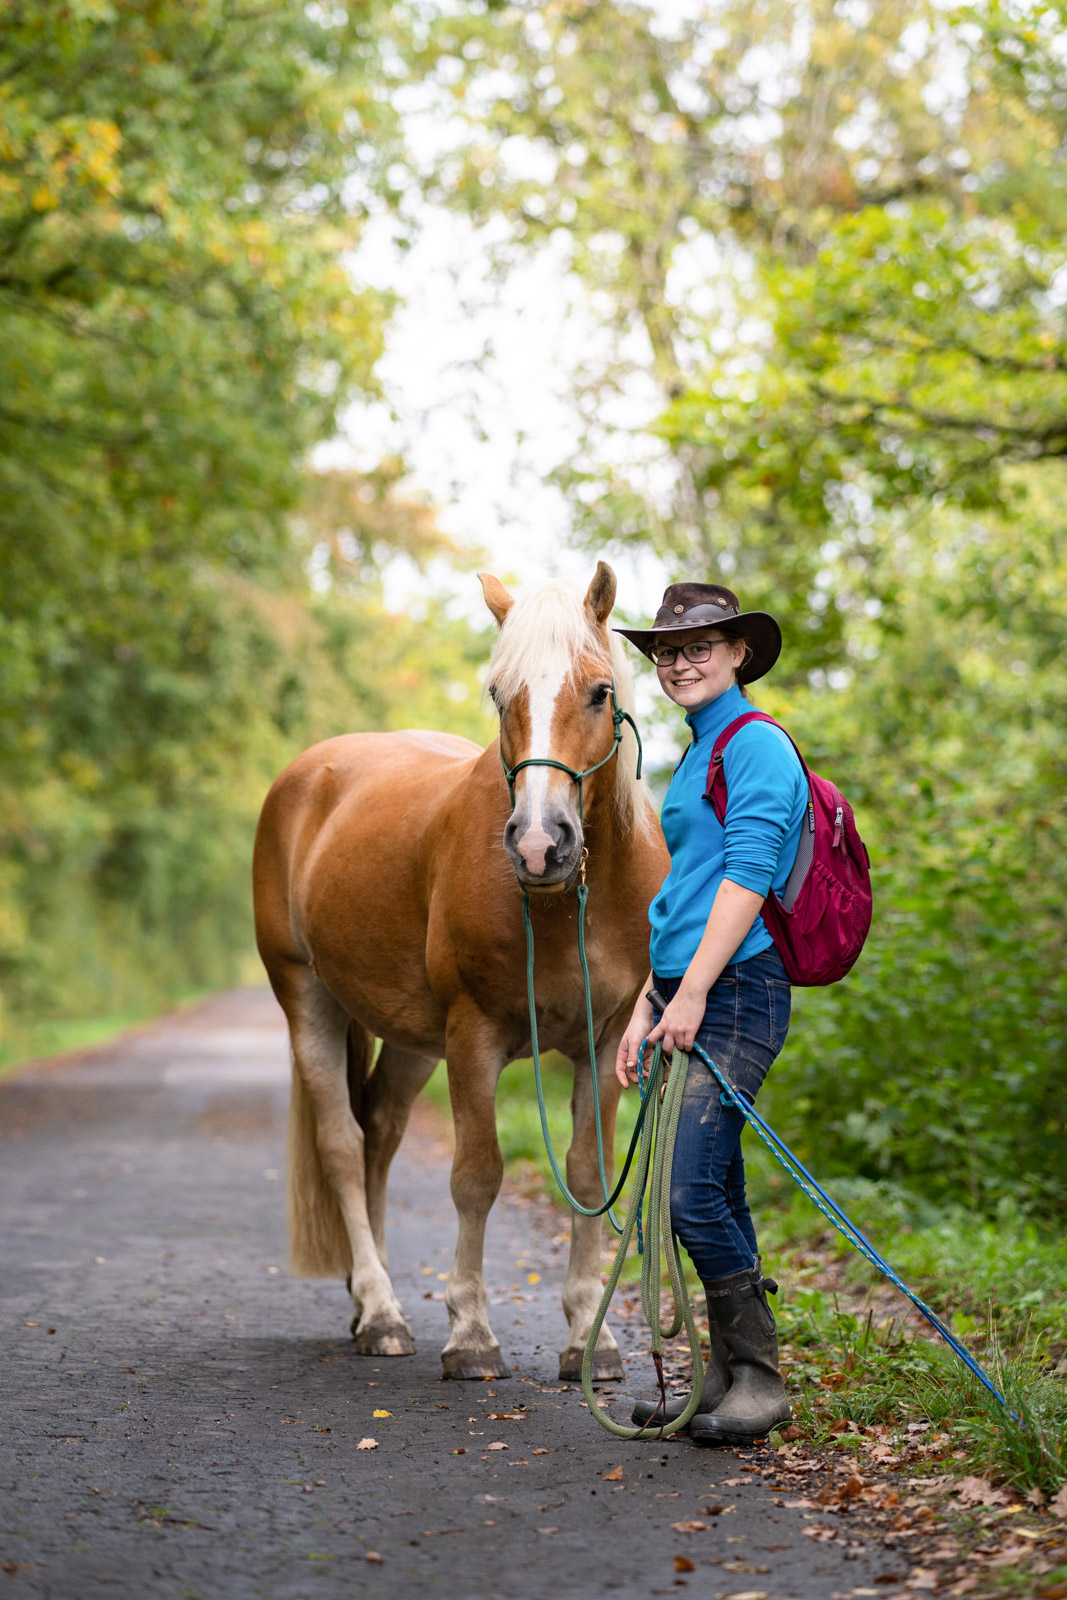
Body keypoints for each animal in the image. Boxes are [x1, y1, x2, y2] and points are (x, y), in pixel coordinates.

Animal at [252, 560, 669, 1381]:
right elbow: (477, 1176)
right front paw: (471, 1334)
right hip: (308, 999)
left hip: (414, 1038)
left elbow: (585, 1173)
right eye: (499, 694)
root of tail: (307, 775)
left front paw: (590, 1337)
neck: (570, 901)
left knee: (379, 1133)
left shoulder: (605, 1042)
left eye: (599, 692)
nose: (539, 844)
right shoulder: (474, 1037)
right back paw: (382, 1311)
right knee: (343, 1146)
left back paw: (365, 1303)